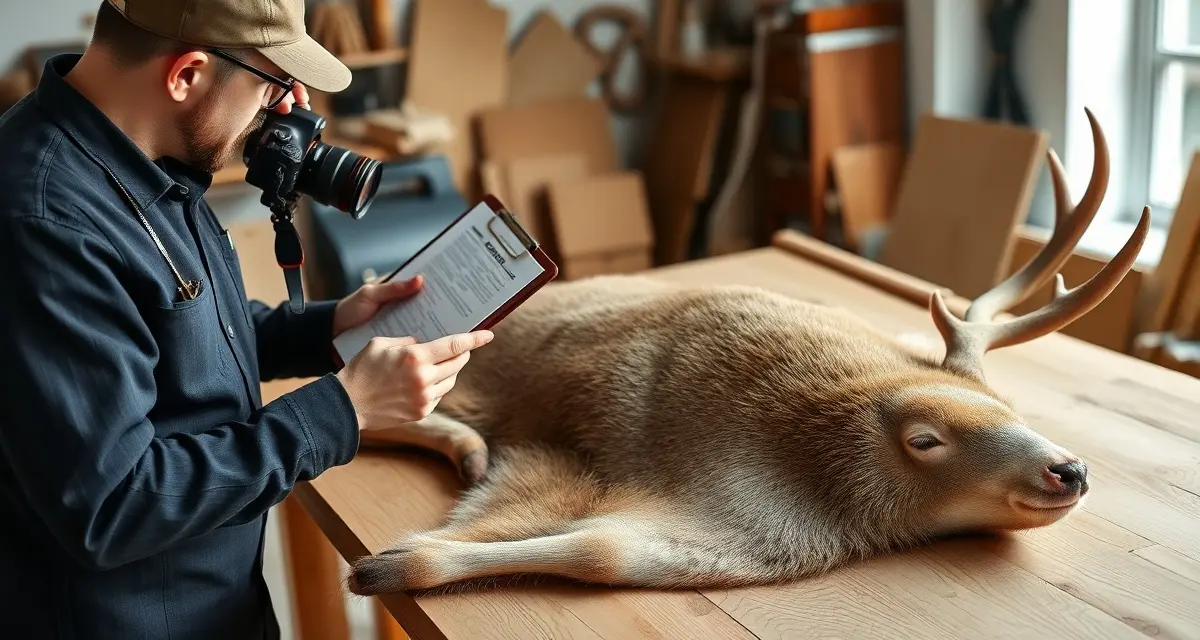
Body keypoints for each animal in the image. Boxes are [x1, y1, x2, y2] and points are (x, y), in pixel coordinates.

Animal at [345, 108, 1150, 597]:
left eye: (1010, 404)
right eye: (926, 440)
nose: (1069, 469)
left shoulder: (751, 537)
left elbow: (601, 548)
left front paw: (397, 558)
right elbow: (595, 547)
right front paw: (385, 566)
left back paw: (468, 448)